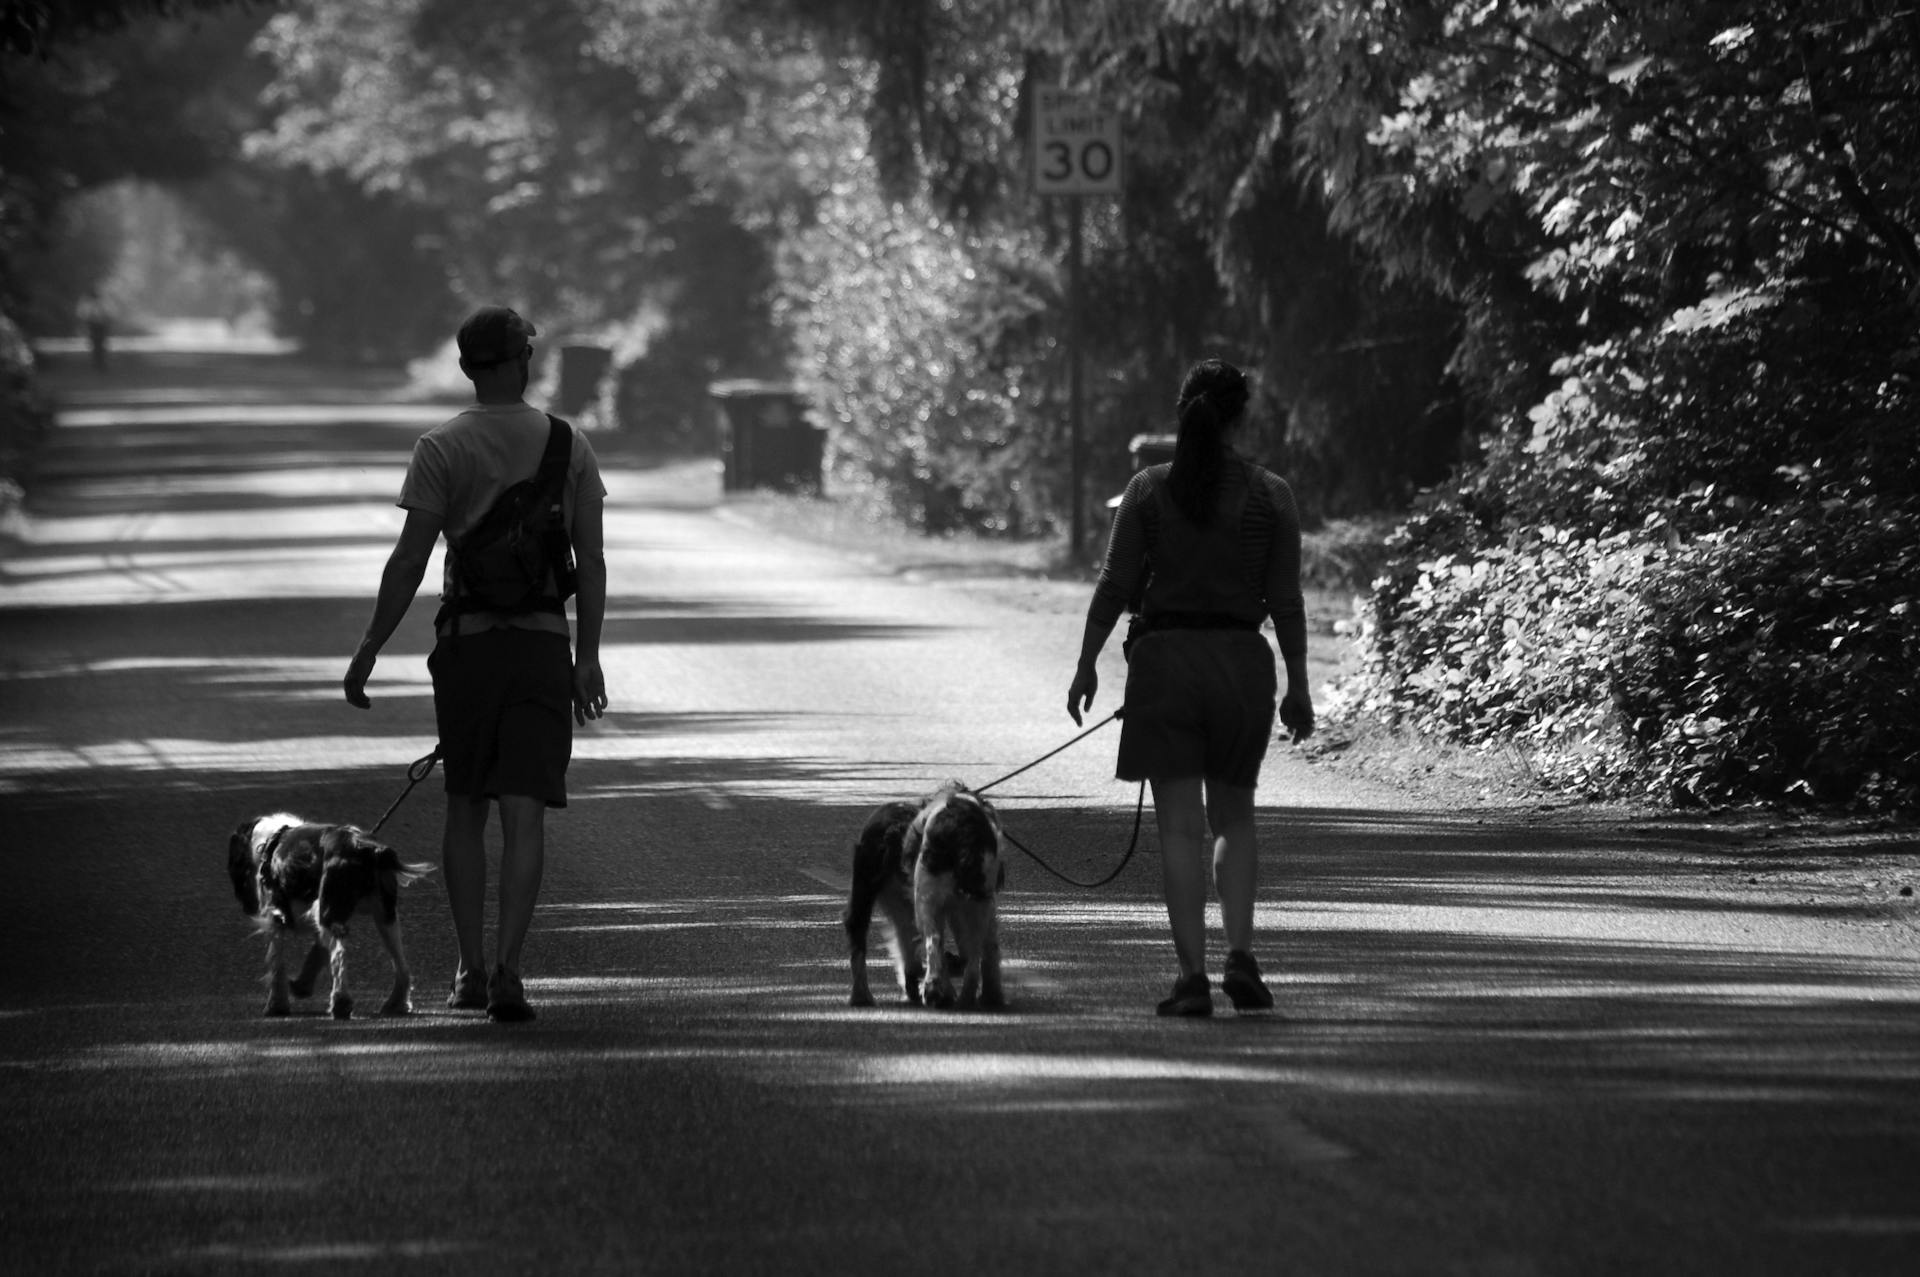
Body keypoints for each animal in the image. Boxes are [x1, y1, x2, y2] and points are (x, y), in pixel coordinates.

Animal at [226, 818, 433, 1013]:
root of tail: (366, 848)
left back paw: (341, 1002)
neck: (268, 843)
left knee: (339, 957)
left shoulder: (276, 918)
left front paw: (276, 1006)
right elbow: (317, 951)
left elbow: (277, 964)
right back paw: (396, 1003)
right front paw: (301, 986)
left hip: (334, 912)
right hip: (385, 917)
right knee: (400, 964)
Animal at [848, 783, 1013, 1013]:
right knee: (949, 946)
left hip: (914, 898)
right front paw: (992, 996)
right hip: (941, 900)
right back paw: (947, 994)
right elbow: (986, 951)